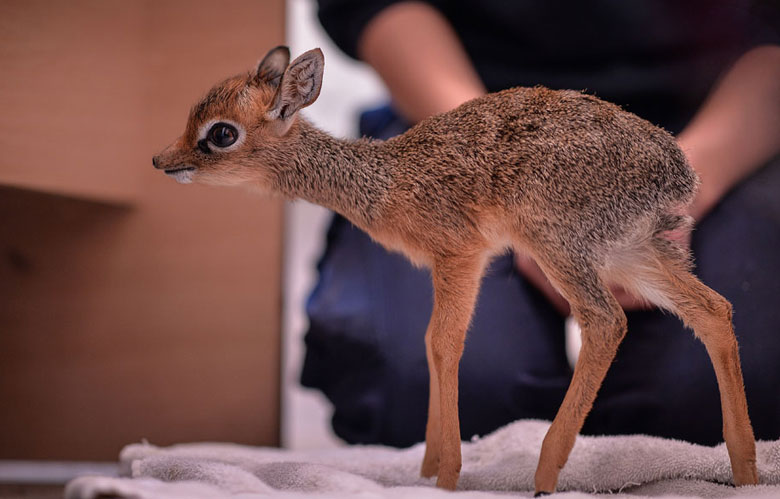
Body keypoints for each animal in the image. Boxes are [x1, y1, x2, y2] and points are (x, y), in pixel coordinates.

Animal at [151, 47, 756, 496]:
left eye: (221, 133)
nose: (161, 160)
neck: (386, 182)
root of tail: (677, 172)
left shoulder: (460, 255)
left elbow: (444, 343)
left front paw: (447, 475)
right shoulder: (453, 264)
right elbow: (427, 342)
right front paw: (425, 469)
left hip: (560, 246)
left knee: (606, 322)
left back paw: (545, 473)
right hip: (633, 252)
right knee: (713, 308)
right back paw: (746, 468)